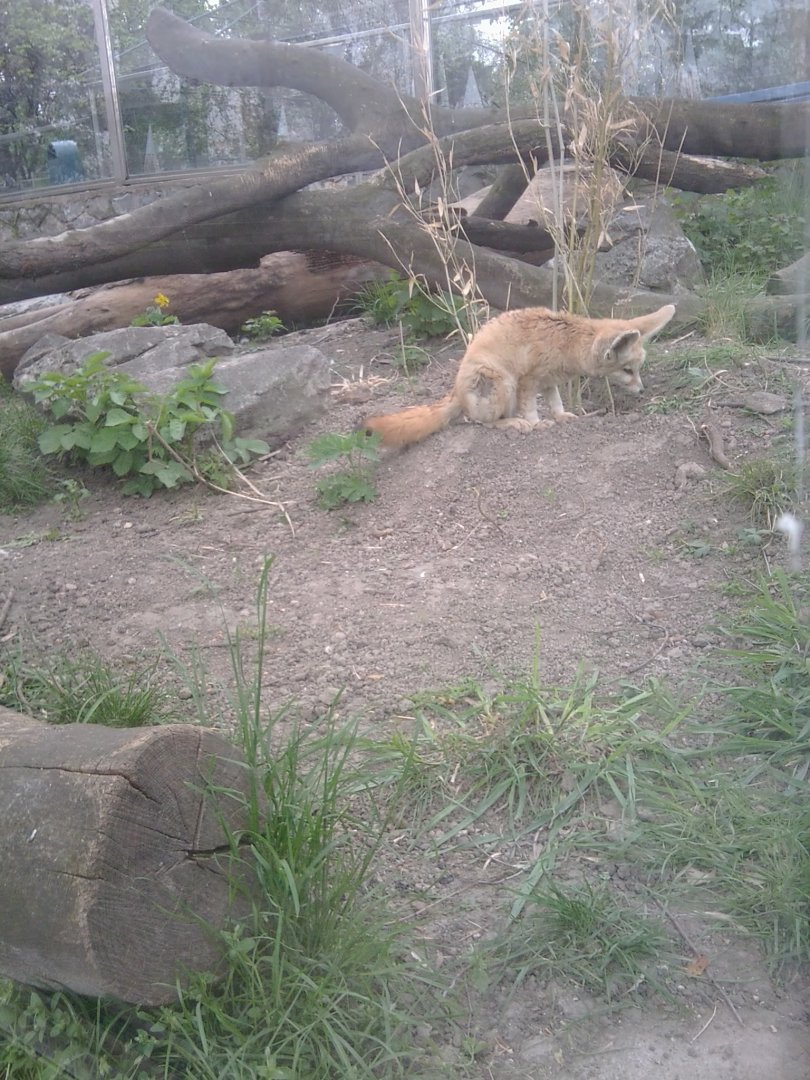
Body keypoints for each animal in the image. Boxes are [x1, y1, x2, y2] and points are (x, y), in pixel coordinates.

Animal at [364, 303, 676, 448]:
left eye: (637, 370)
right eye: (627, 371)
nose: (642, 391)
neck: (567, 340)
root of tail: (456, 395)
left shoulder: (549, 381)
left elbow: (556, 402)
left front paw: (562, 417)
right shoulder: (528, 380)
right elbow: (533, 409)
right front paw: (537, 424)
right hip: (503, 382)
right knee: (483, 422)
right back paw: (513, 423)